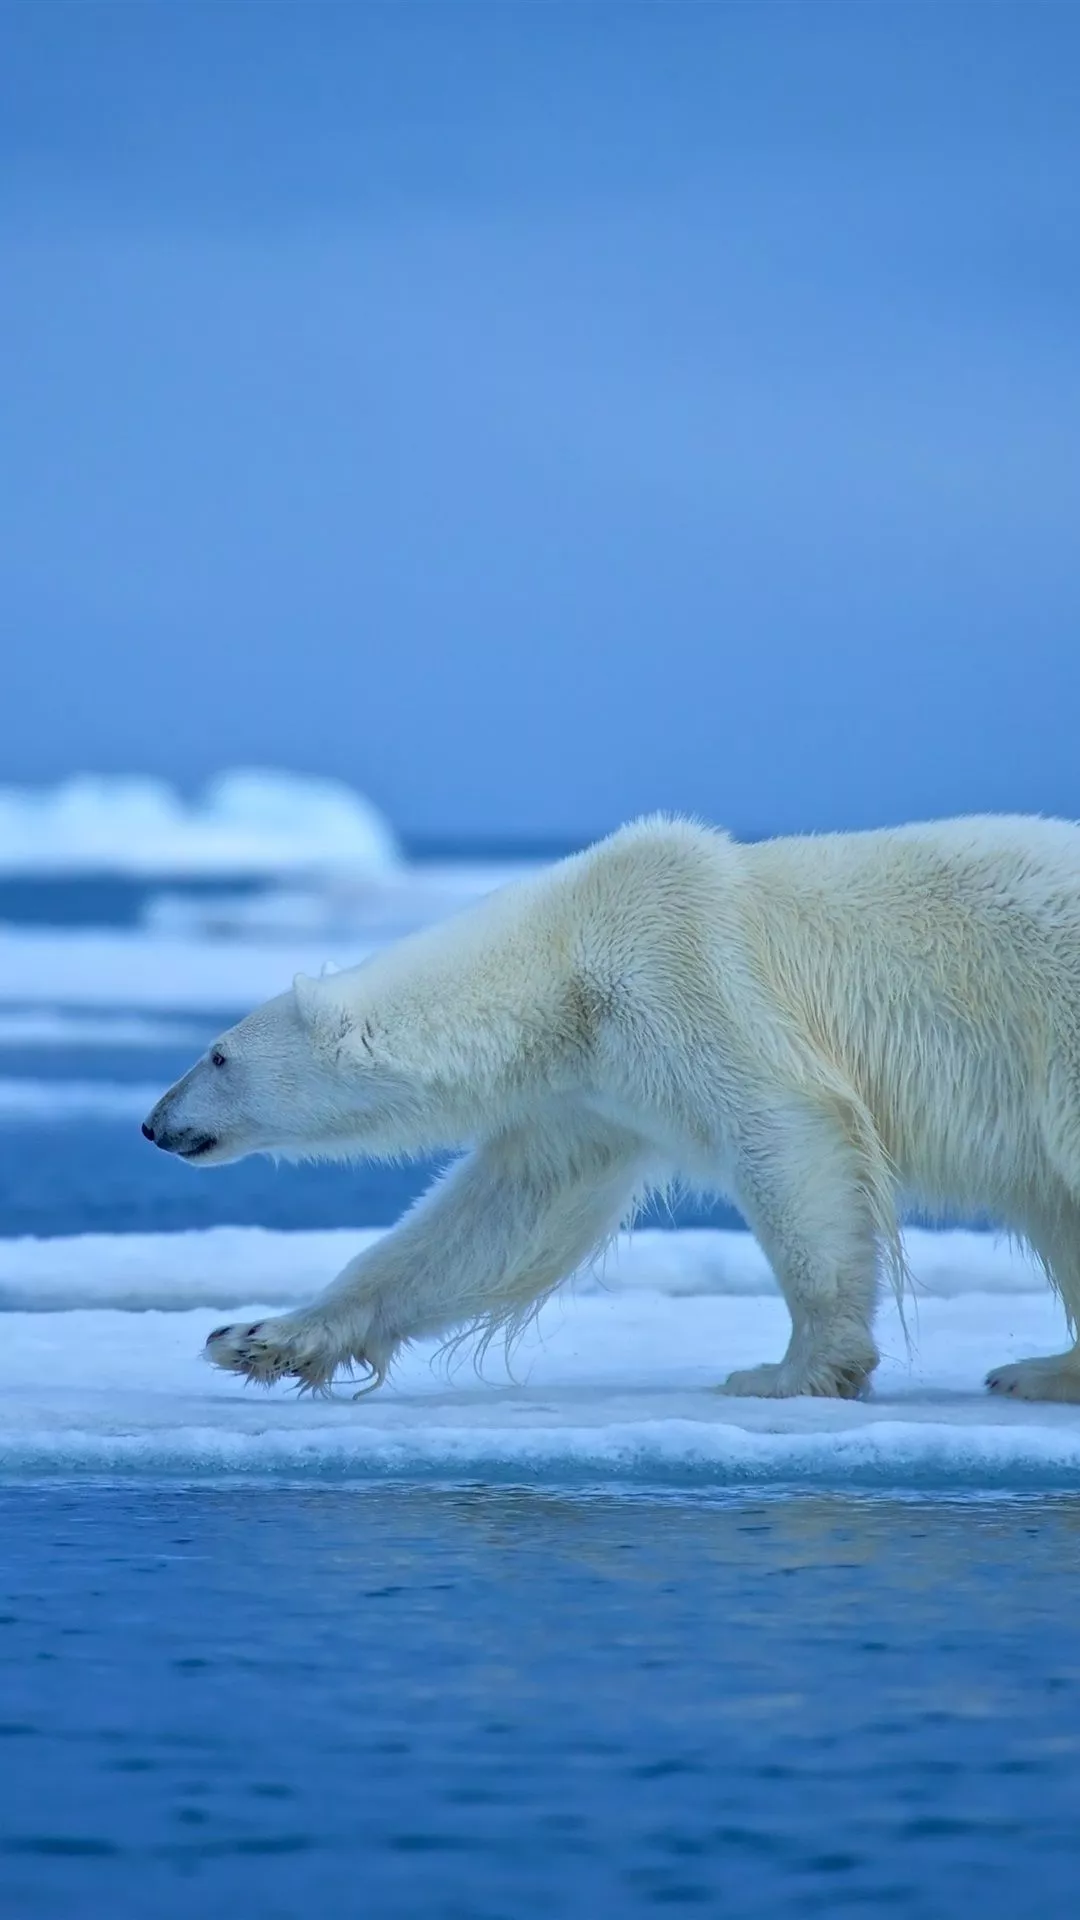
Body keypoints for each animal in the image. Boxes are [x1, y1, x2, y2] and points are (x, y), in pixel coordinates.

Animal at [142, 813, 1080, 1404]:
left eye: (217, 1054)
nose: (154, 1123)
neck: (568, 959)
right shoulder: (594, 1089)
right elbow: (501, 1217)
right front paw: (258, 1338)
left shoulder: (688, 979)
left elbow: (787, 1134)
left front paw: (793, 1371)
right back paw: (1043, 1368)